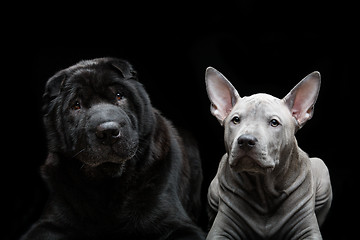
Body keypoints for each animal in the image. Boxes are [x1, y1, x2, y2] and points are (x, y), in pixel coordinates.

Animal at [21, 57, 204, 240]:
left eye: (119, 95)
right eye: (76, 105)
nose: (108, 131)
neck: (109, 185)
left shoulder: (176, 223)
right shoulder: (49, 223)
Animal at [205, 68, 332, 240]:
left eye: (274, 122)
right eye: (235, 120)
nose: (246, 140)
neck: (264, 192)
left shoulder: (308, 231)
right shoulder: (220, 230)